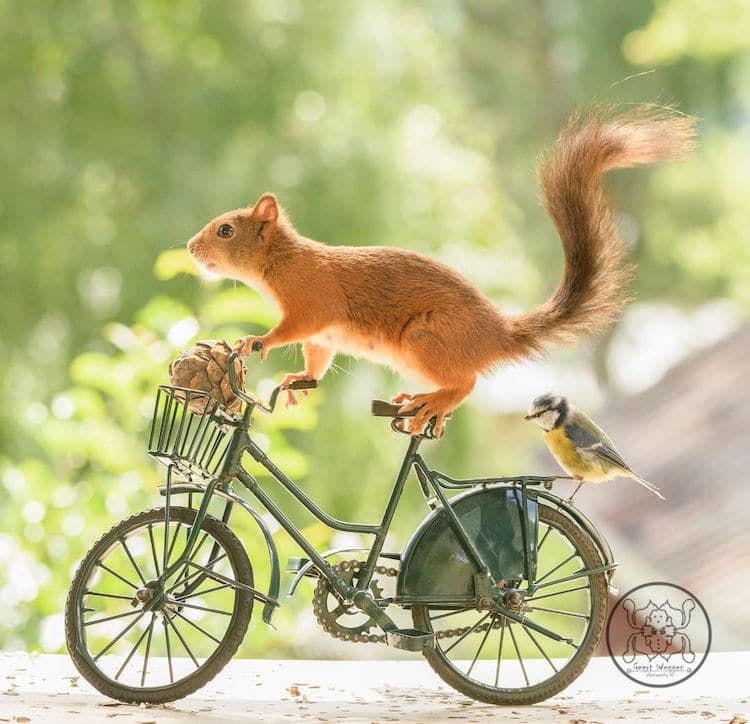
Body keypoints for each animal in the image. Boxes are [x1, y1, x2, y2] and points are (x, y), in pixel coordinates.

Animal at [188, 107, 700, 436]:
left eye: (226, 230)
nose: (191, 248)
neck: (281, 261)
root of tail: (496, 334)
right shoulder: (322, 337)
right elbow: (317, 359)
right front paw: (296, 381)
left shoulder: (311, 301)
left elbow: (291, 328)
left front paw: (255, 342)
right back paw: (414, 400)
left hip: (426, 339)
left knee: (466, 382)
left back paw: (434, 401)